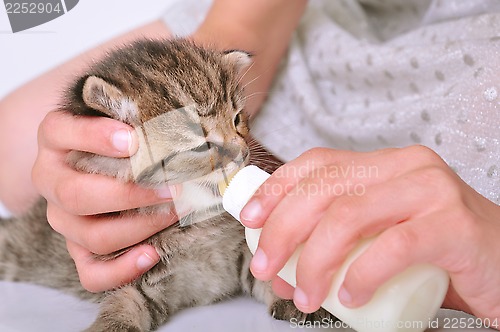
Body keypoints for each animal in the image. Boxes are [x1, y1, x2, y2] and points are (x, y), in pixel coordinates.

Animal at [0, 38, 330, 330]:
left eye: (237, 119)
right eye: (200, 145)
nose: (243, 153)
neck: (196, 225)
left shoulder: (241, 251)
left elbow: (267, 269)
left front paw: (302, 301)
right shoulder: (132, 276)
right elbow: (122, 305)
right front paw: (112, 326)